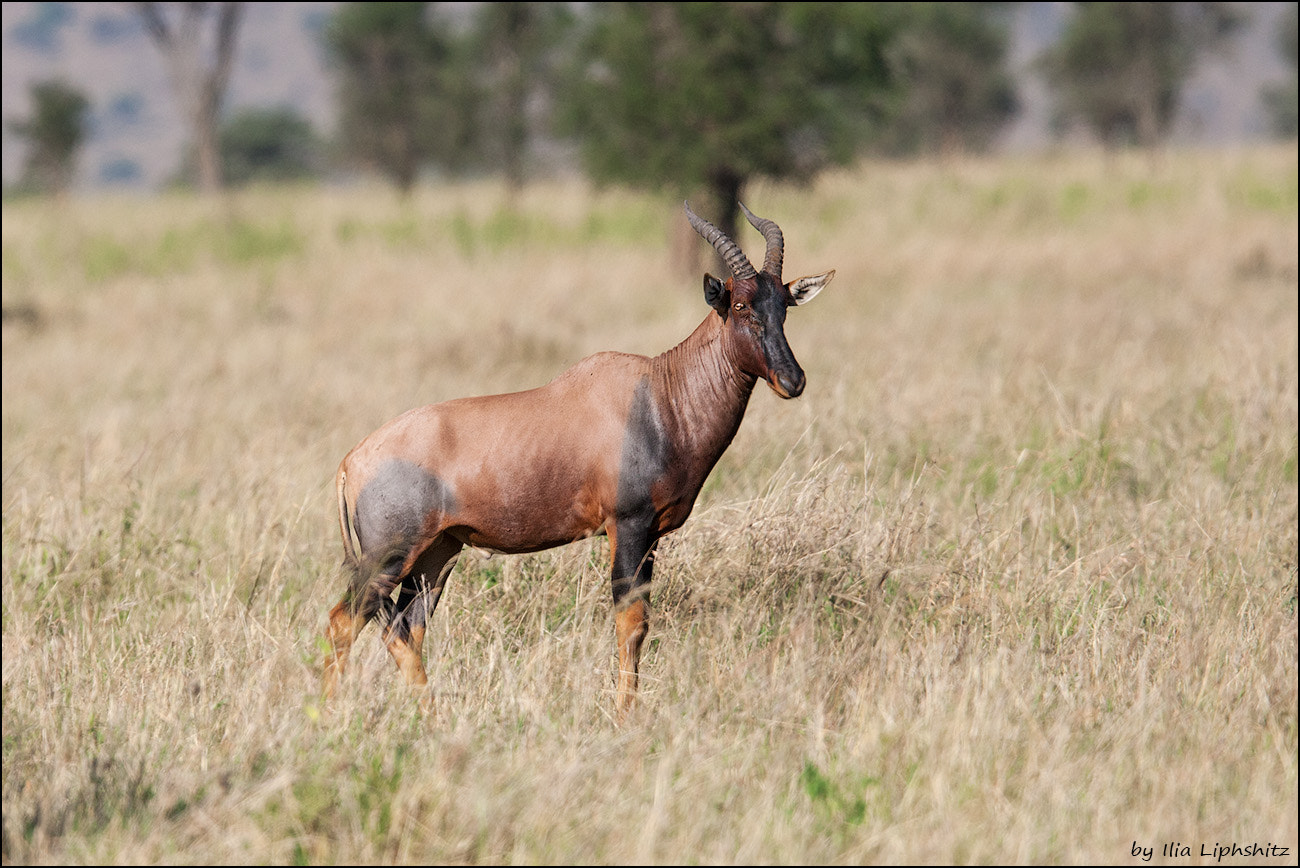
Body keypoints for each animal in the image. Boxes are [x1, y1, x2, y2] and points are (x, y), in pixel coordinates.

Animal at [323, 201, 832, 717]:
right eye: (741, 305)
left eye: (784, 305)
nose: (792, 380)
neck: (658, 394)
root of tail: (352, 461)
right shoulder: (627, 526)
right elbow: (631, 622)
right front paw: (625, 715)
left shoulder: (652, 536)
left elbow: (642, 620)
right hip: (388, 557)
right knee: (345, 620)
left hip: (436, 555)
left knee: (407, 629)